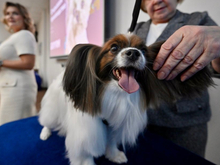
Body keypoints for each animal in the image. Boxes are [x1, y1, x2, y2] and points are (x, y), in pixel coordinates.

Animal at [38, 33, 212, 165]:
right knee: (46, 121)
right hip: (53, 111)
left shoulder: (116, 124)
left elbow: (111, 142)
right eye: (114, 48)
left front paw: (114, 155)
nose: (134, 53)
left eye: (143, 50)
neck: (117, 95)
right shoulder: (86, 132)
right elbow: (84, 154)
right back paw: (45, 133)